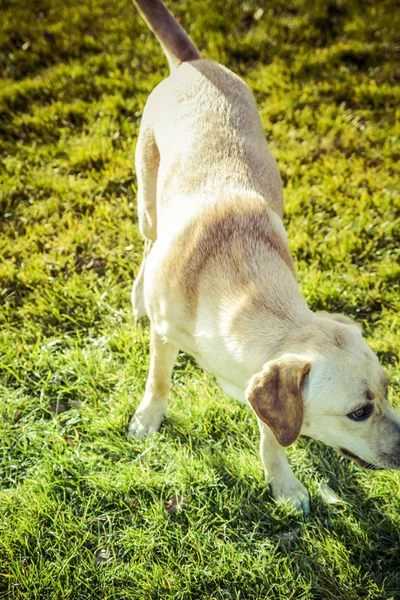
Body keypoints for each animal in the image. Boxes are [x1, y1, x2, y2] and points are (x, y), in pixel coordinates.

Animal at [128, 0, 400, 510]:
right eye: (359, 412)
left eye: (389, 388)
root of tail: (192, 63)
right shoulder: (164, 334)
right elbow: (159, 379)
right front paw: (149, 416)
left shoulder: (266, 391)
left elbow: (272, 437)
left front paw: (284, 483)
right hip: (146, 202)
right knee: (148, 243)